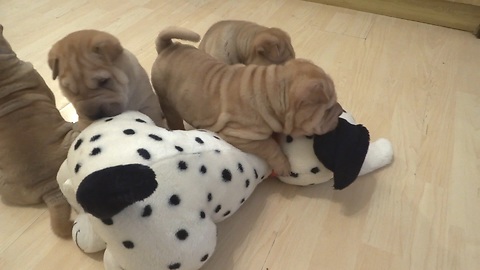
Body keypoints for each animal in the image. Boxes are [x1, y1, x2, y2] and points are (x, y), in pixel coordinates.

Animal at [150, 26, 342, 175]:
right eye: (328, 109)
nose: (340, 111)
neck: (269, 92)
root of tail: (168, 46)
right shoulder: (239, 135)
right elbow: (269, 146)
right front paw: (283, 166)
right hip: (167, 100)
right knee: (173, 117)